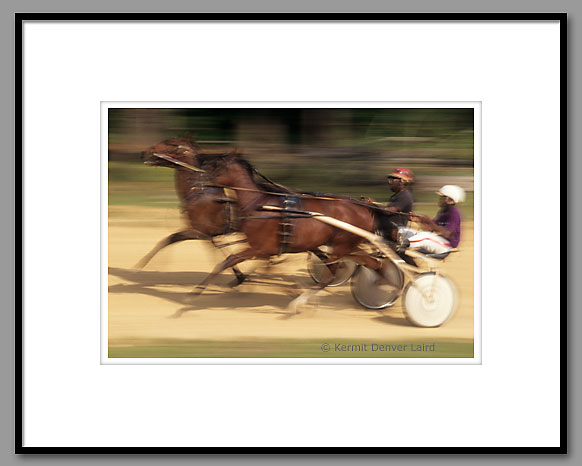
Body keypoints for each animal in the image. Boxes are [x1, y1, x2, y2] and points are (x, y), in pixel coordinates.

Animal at [187, 153, 386, 314]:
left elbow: (228, 261)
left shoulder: (258, 248)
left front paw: (196, 291)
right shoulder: (267, 250)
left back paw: (299, 303)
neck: (260, 205)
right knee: (372, 263)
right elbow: (267, 269)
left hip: (341, 245)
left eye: (215, 166)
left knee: (332, 275)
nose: (196, 183)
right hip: (345, 246)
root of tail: (365, 207)